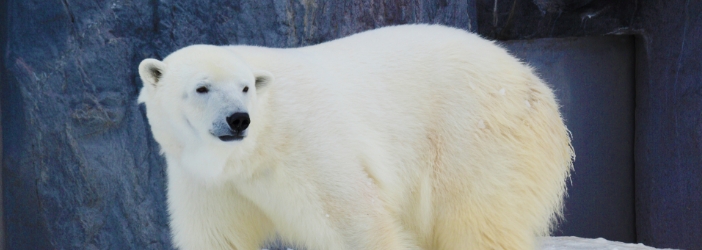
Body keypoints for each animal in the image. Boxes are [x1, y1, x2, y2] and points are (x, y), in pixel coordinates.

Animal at [139, 23, 576, 250]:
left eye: (245, 87)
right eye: (202, 88)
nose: (238, 120)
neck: (255, 150)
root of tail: (536, 84)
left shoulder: (307, 147)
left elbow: (355, 221)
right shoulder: (208, 183)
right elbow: (217, 237)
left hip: (477, 136)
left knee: (475, 220)